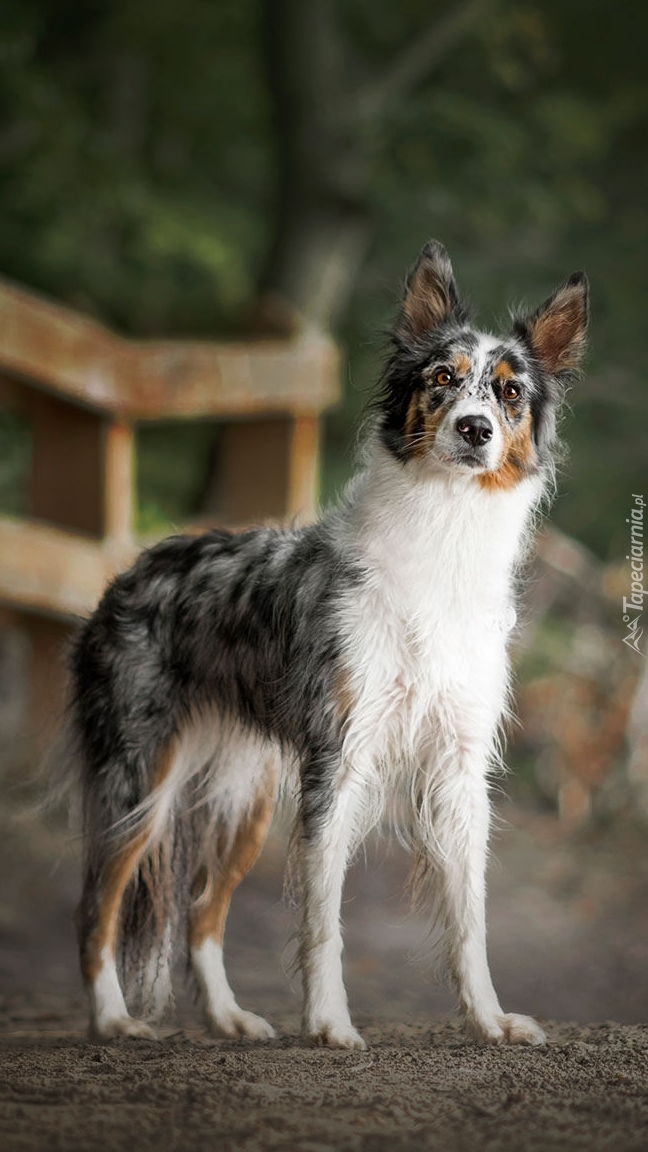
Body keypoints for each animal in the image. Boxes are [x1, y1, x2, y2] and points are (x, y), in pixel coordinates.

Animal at [68, 245, 588, 1055]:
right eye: (443, 380)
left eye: (508, 393)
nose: (475, 429)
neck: (445, 533)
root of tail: (126, 575)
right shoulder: (339, 759)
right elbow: (322, 920)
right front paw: (329, 1022)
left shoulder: (459, 768)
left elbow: (470, 919)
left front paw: (490, 1019)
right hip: (138, 781)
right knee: (96, 905)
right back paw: (113, 1018)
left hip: (244, 798)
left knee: (202, 911)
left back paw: (229, 1018)